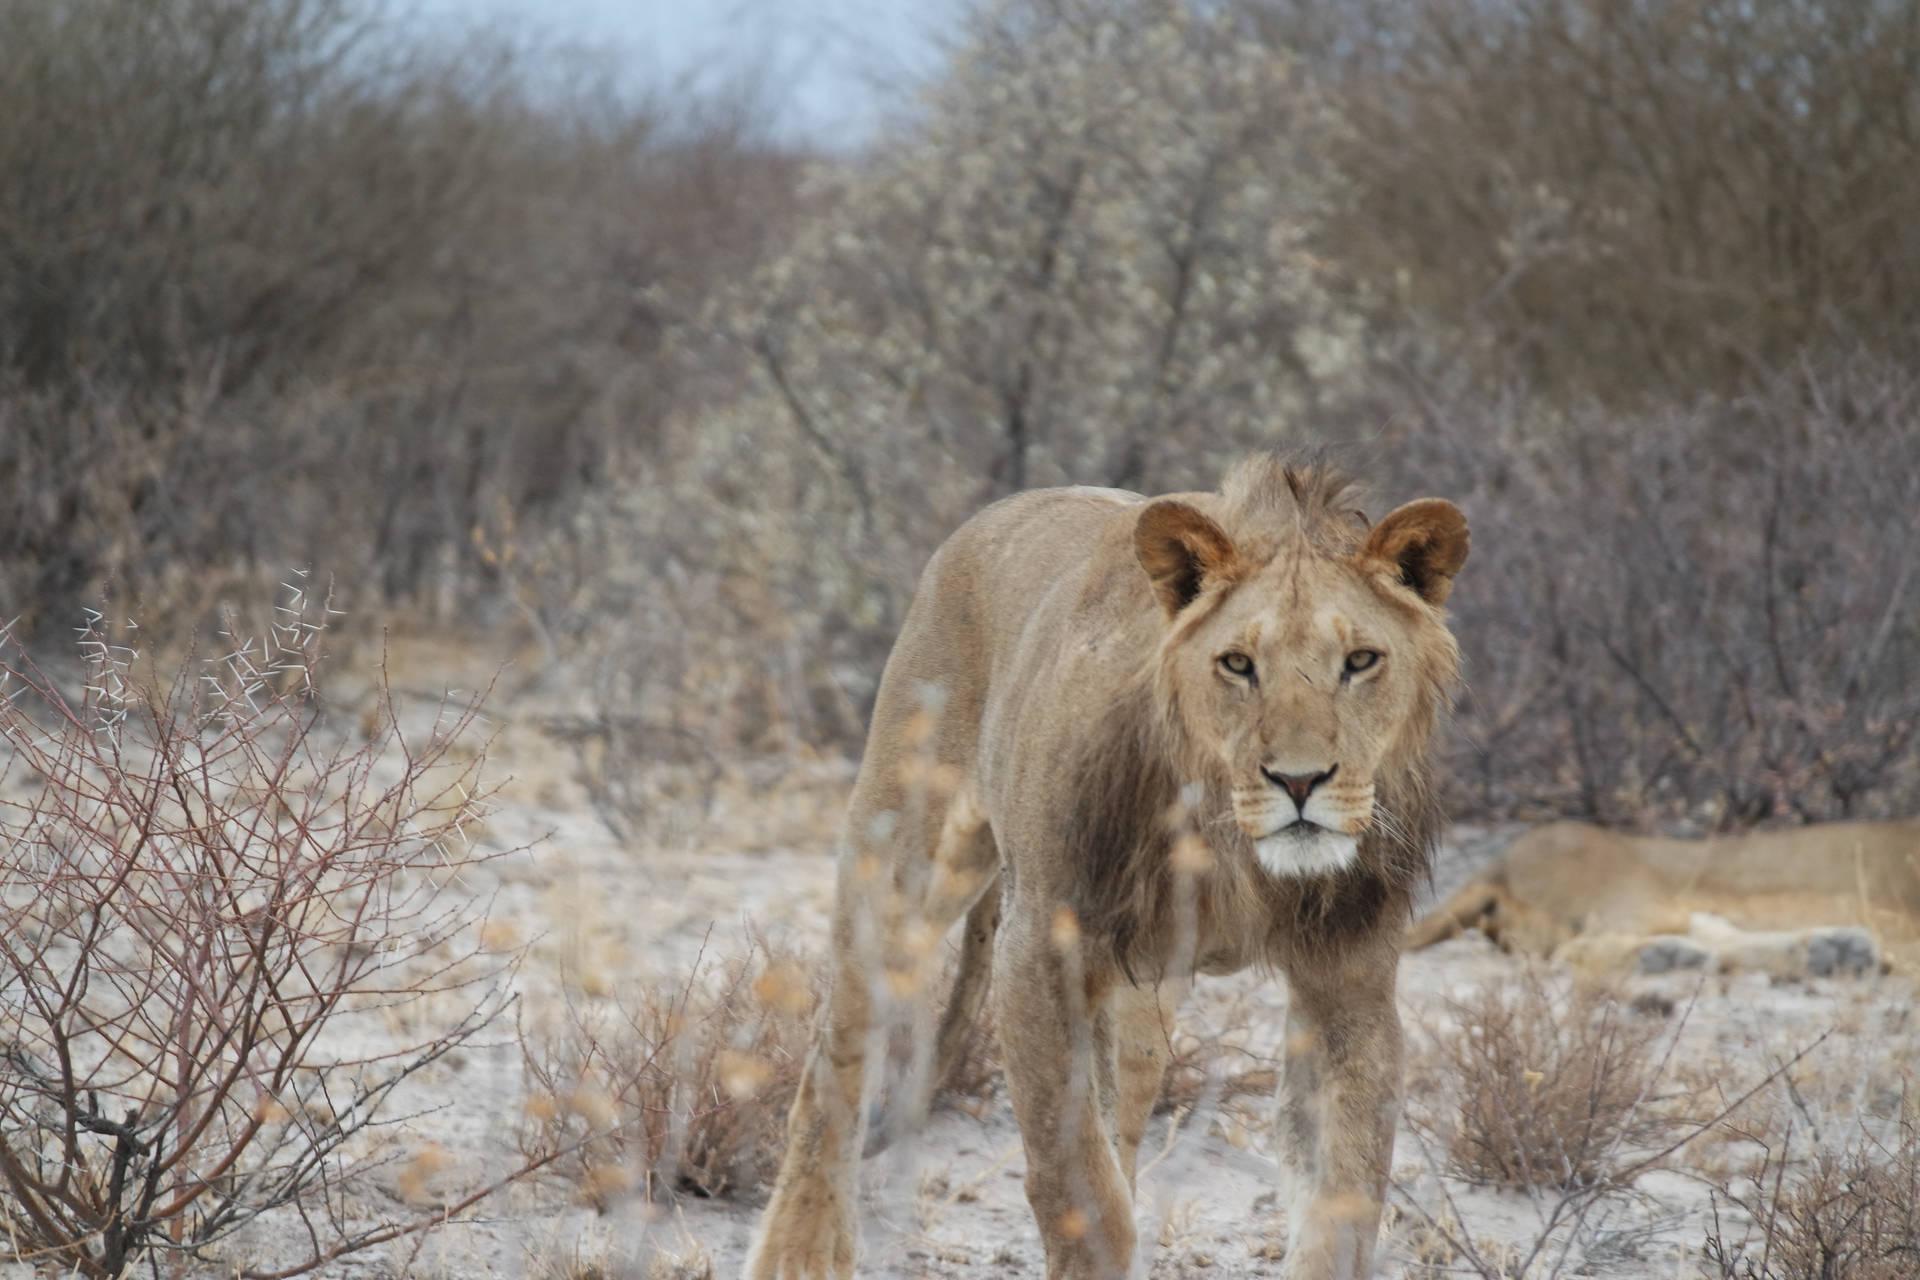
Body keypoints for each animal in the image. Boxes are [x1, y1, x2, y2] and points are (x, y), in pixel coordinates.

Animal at [748, 460, 1466, 1280]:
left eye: (1361, 661)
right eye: (1238, 664)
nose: (1300, 780)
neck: (1230, 849)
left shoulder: (1349, 983)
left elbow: (1340, 1199)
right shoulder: (1037, 953)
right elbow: (1080, 1189)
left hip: (1145, 999)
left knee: (1122, 1113)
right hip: (900, 869)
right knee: (831, 1067)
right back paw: (798, 1252)